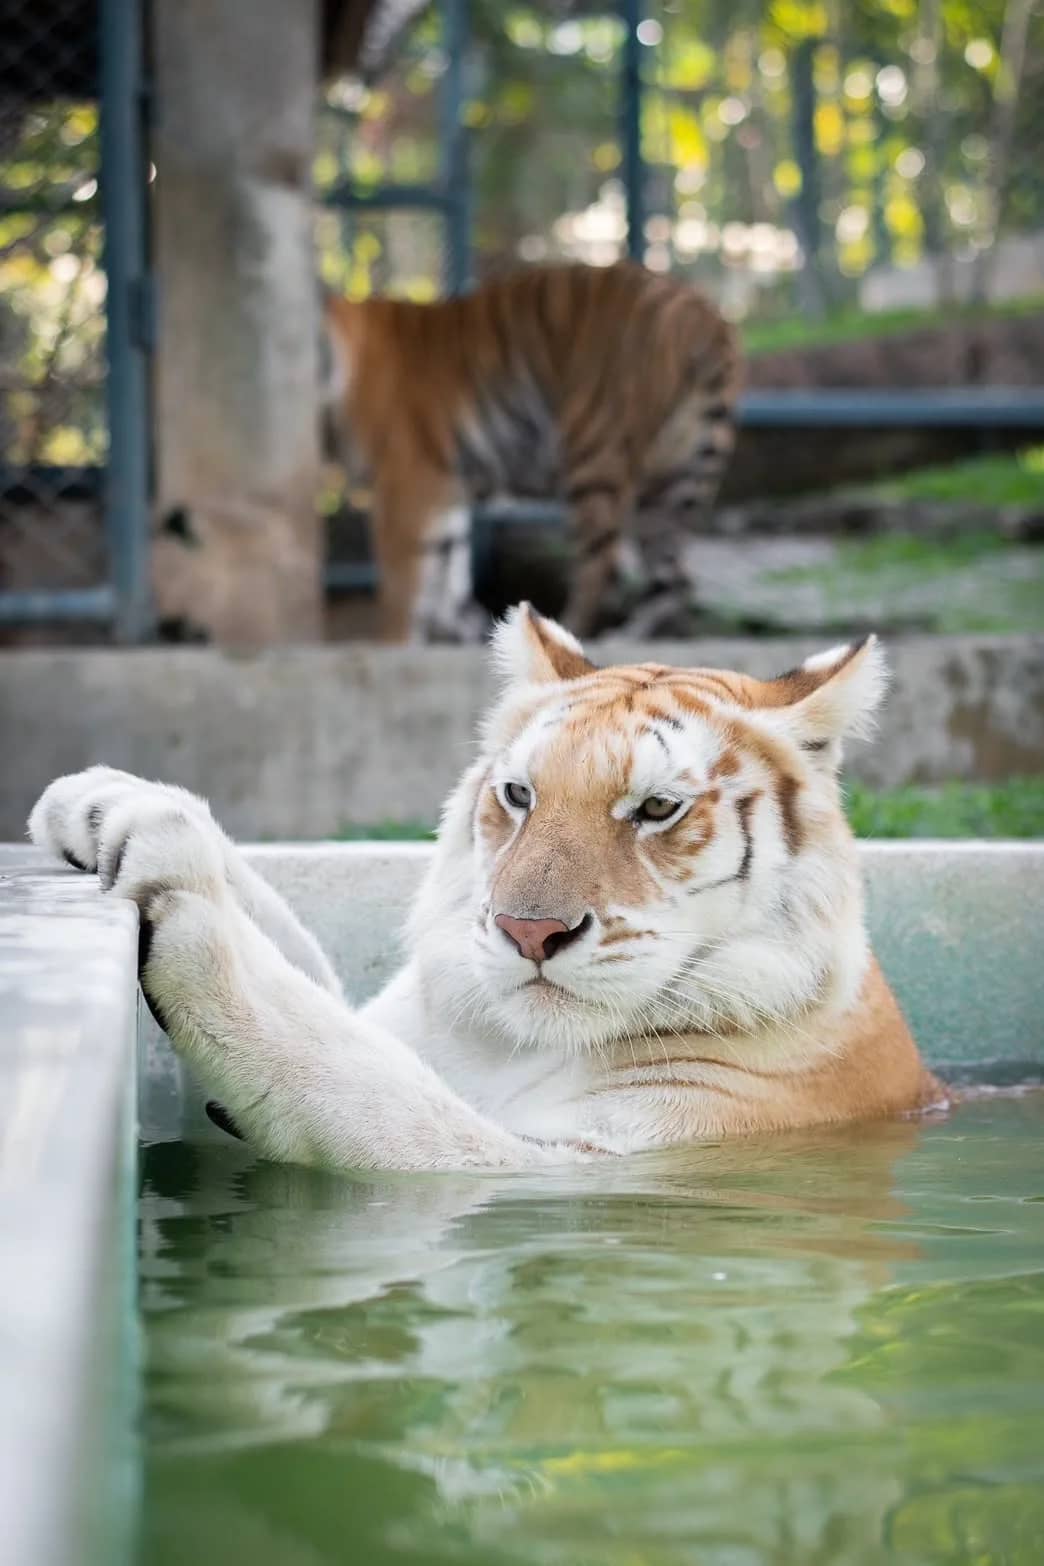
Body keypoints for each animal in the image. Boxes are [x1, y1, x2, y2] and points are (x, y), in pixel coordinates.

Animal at [30, 604, 944, 1172]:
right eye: (519, 794)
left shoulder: (563, 1163)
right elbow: (311, 981)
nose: (527, 932)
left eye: (656, 808)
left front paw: (181, 880)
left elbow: (345, 1069)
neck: (508, 1042)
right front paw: (105, 799)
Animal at [323, 261, 740, 642]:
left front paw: (396, 641)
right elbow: (447, 577)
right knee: (674, 583)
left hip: (594, 456)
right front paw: (459, 627)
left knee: (601, 570)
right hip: (670, 484)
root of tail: (704, 315)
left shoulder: (405, 486)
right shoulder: (445, 495)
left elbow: (402, 589)